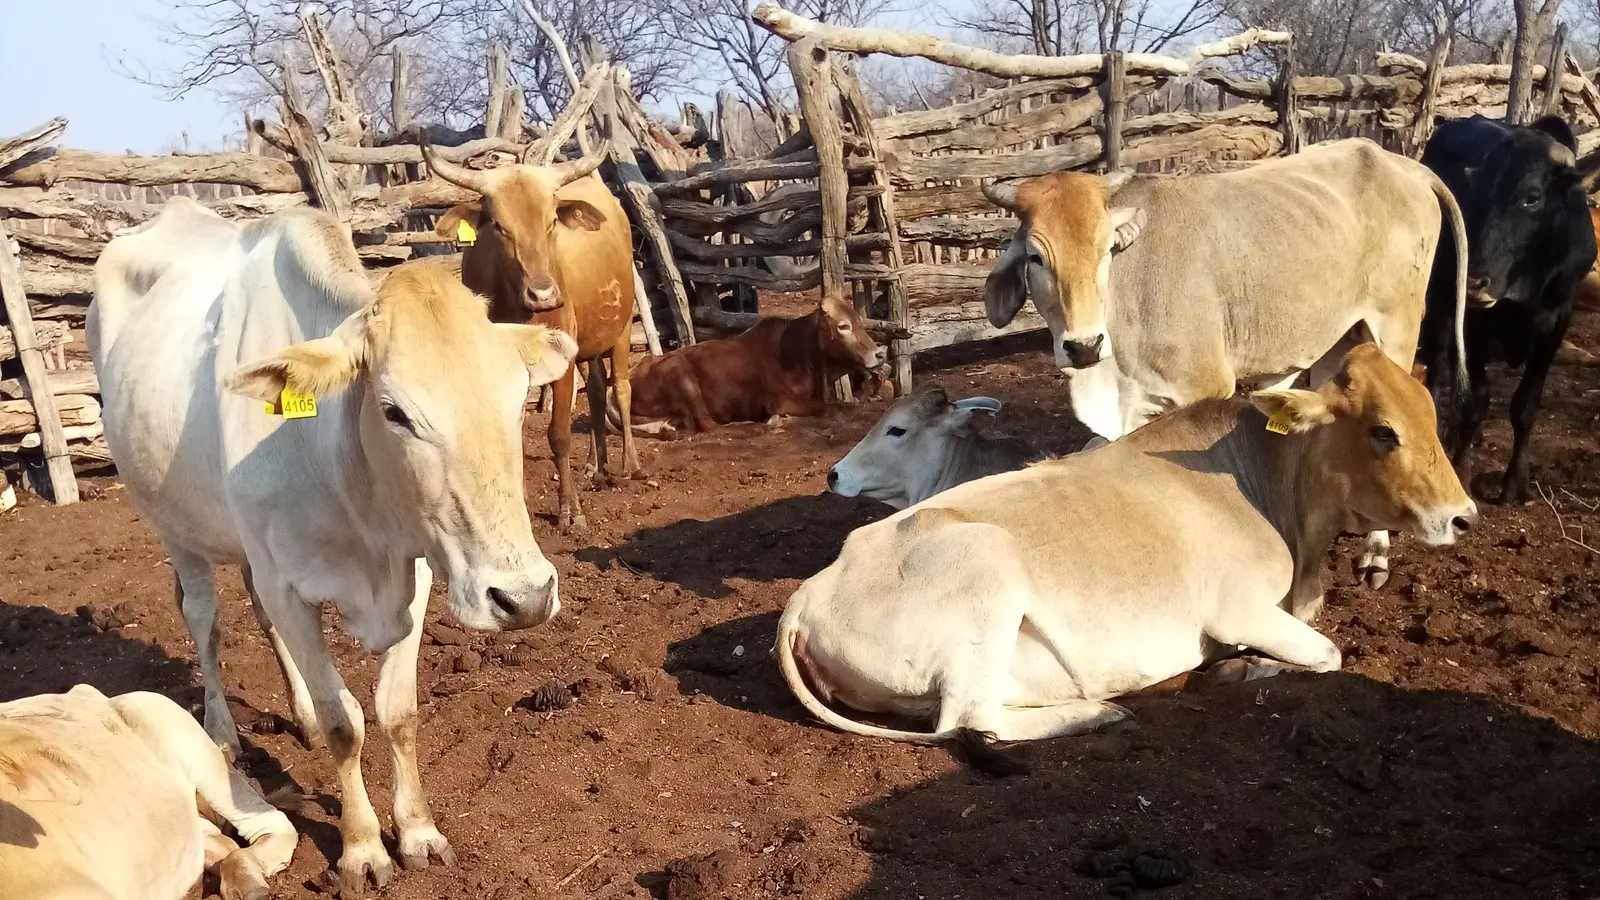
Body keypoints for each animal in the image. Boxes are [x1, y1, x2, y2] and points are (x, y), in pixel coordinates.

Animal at [89, 199, 577, 892]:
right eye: (395, 411)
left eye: (518, 397)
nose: (526, 598)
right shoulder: (289, 584)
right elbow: (347, 722)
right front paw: (364, 848)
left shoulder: (415, 573)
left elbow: (397, 711)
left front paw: (418, 833)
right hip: (172, 524)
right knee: (205, 618)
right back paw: (223, 729)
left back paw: (300, 715)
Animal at [422, 141, 640, 530]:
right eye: (499, 226)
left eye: (551, 221)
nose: (544, 295)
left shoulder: (563, 362)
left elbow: (559, 434)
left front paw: (570, 510)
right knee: (597, 388)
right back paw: (595, 466)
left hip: (623, 326)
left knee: (621, 387)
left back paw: (629, 464)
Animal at [612, 295, 886, 436]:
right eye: (843, 326)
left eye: (859, 321)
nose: (879, 354)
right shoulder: (777, 400)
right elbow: (824, 407)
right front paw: (776, 420)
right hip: (683, 378)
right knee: (709, 425)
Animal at [981, 138, 1471, 589]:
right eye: (1036, 257)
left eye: (1104, 251)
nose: (1083, 345)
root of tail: (1401, 162)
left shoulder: (1204, 387)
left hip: (1396, 327)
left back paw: (1376, 553)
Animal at [1417, 115, 1600, 505]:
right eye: (1475, 193)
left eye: (1531, 198)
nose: (1473, 282)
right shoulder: (1473, 323)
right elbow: (1477, 401)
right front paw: (1461, 471)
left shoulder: (1557, 324)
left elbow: (1525, 406)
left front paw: (1516, 482)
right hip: (1438, 301)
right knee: (1438, 372)